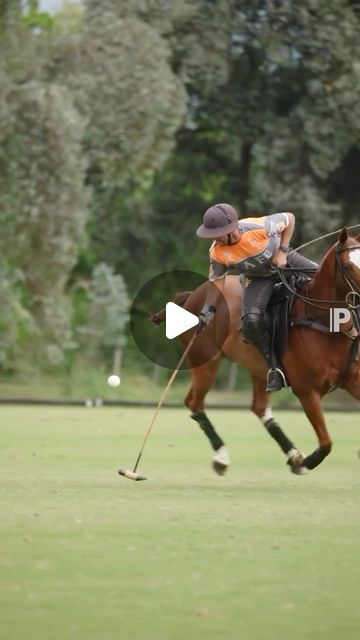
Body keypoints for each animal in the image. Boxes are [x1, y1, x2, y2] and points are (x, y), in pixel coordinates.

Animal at [151, 230, 360, 476]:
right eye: (347, 266)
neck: (324, 322)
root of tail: (193, 295)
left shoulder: (353, 379)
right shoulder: (307, 390)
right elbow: (326, 442)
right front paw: (307, 462)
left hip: (258, 368)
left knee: (259, 407)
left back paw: (292, 453)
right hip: (205, 361)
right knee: (194, 402)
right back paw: (222, 457)